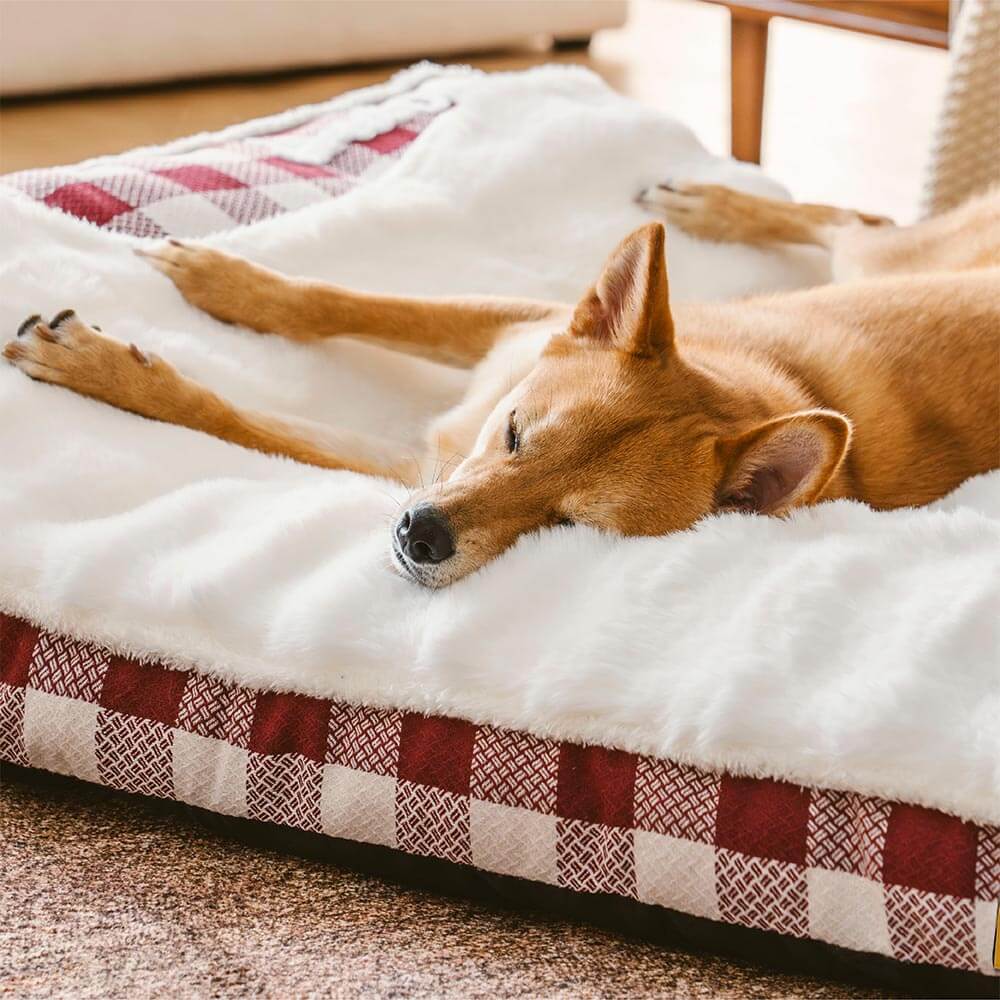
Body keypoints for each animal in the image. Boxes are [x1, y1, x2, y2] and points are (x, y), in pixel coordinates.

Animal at [3, 184, 996, 584]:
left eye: (570, 526)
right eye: (516, 434)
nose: (423, 535)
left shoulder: (409, 465)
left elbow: (231, 416)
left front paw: (99, 369)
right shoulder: (512, 332)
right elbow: (347, 302)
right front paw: (227, 282)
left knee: (858, 219)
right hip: (877, 261)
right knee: (856, 217)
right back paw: (712, 205)